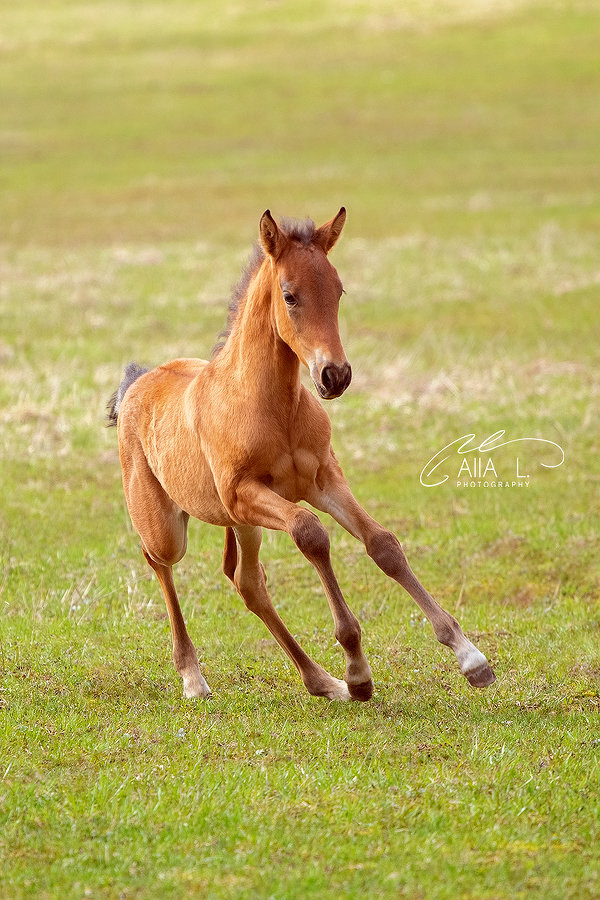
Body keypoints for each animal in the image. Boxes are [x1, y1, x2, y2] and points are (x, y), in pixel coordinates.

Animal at [109, 211, 496, 704]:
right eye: (290, 295)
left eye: (339, 290)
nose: (335, 375)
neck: (273, 406)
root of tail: (136, 383)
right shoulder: (244, 494)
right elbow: (311, 534)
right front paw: (357, 669)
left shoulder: (322, 479)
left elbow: (383, 545)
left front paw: (471, 658)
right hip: (171, 528)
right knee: (157, 560)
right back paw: (194, 678)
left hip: (244, 526)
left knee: (248, 583)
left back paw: (322, 682)